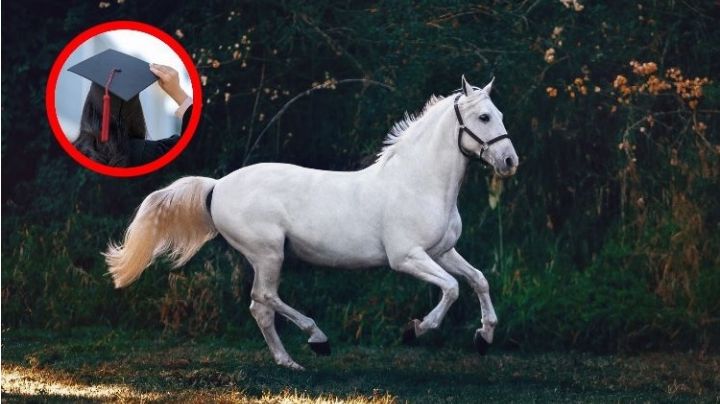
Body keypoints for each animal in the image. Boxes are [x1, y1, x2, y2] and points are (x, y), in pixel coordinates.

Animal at [105, 76, 518, 370]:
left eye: (500, 115)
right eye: (484, 117)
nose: (509, 161)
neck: (418, 182)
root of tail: (217, 186)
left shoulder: (443, 251)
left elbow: (478, 280)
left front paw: (484, 338)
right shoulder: (407, 257)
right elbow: (451, 288)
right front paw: (415, 330)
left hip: (266, 257)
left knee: (260, 307)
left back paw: (289, 362)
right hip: (268, 253)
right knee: (264, 298)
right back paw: (317, 340)